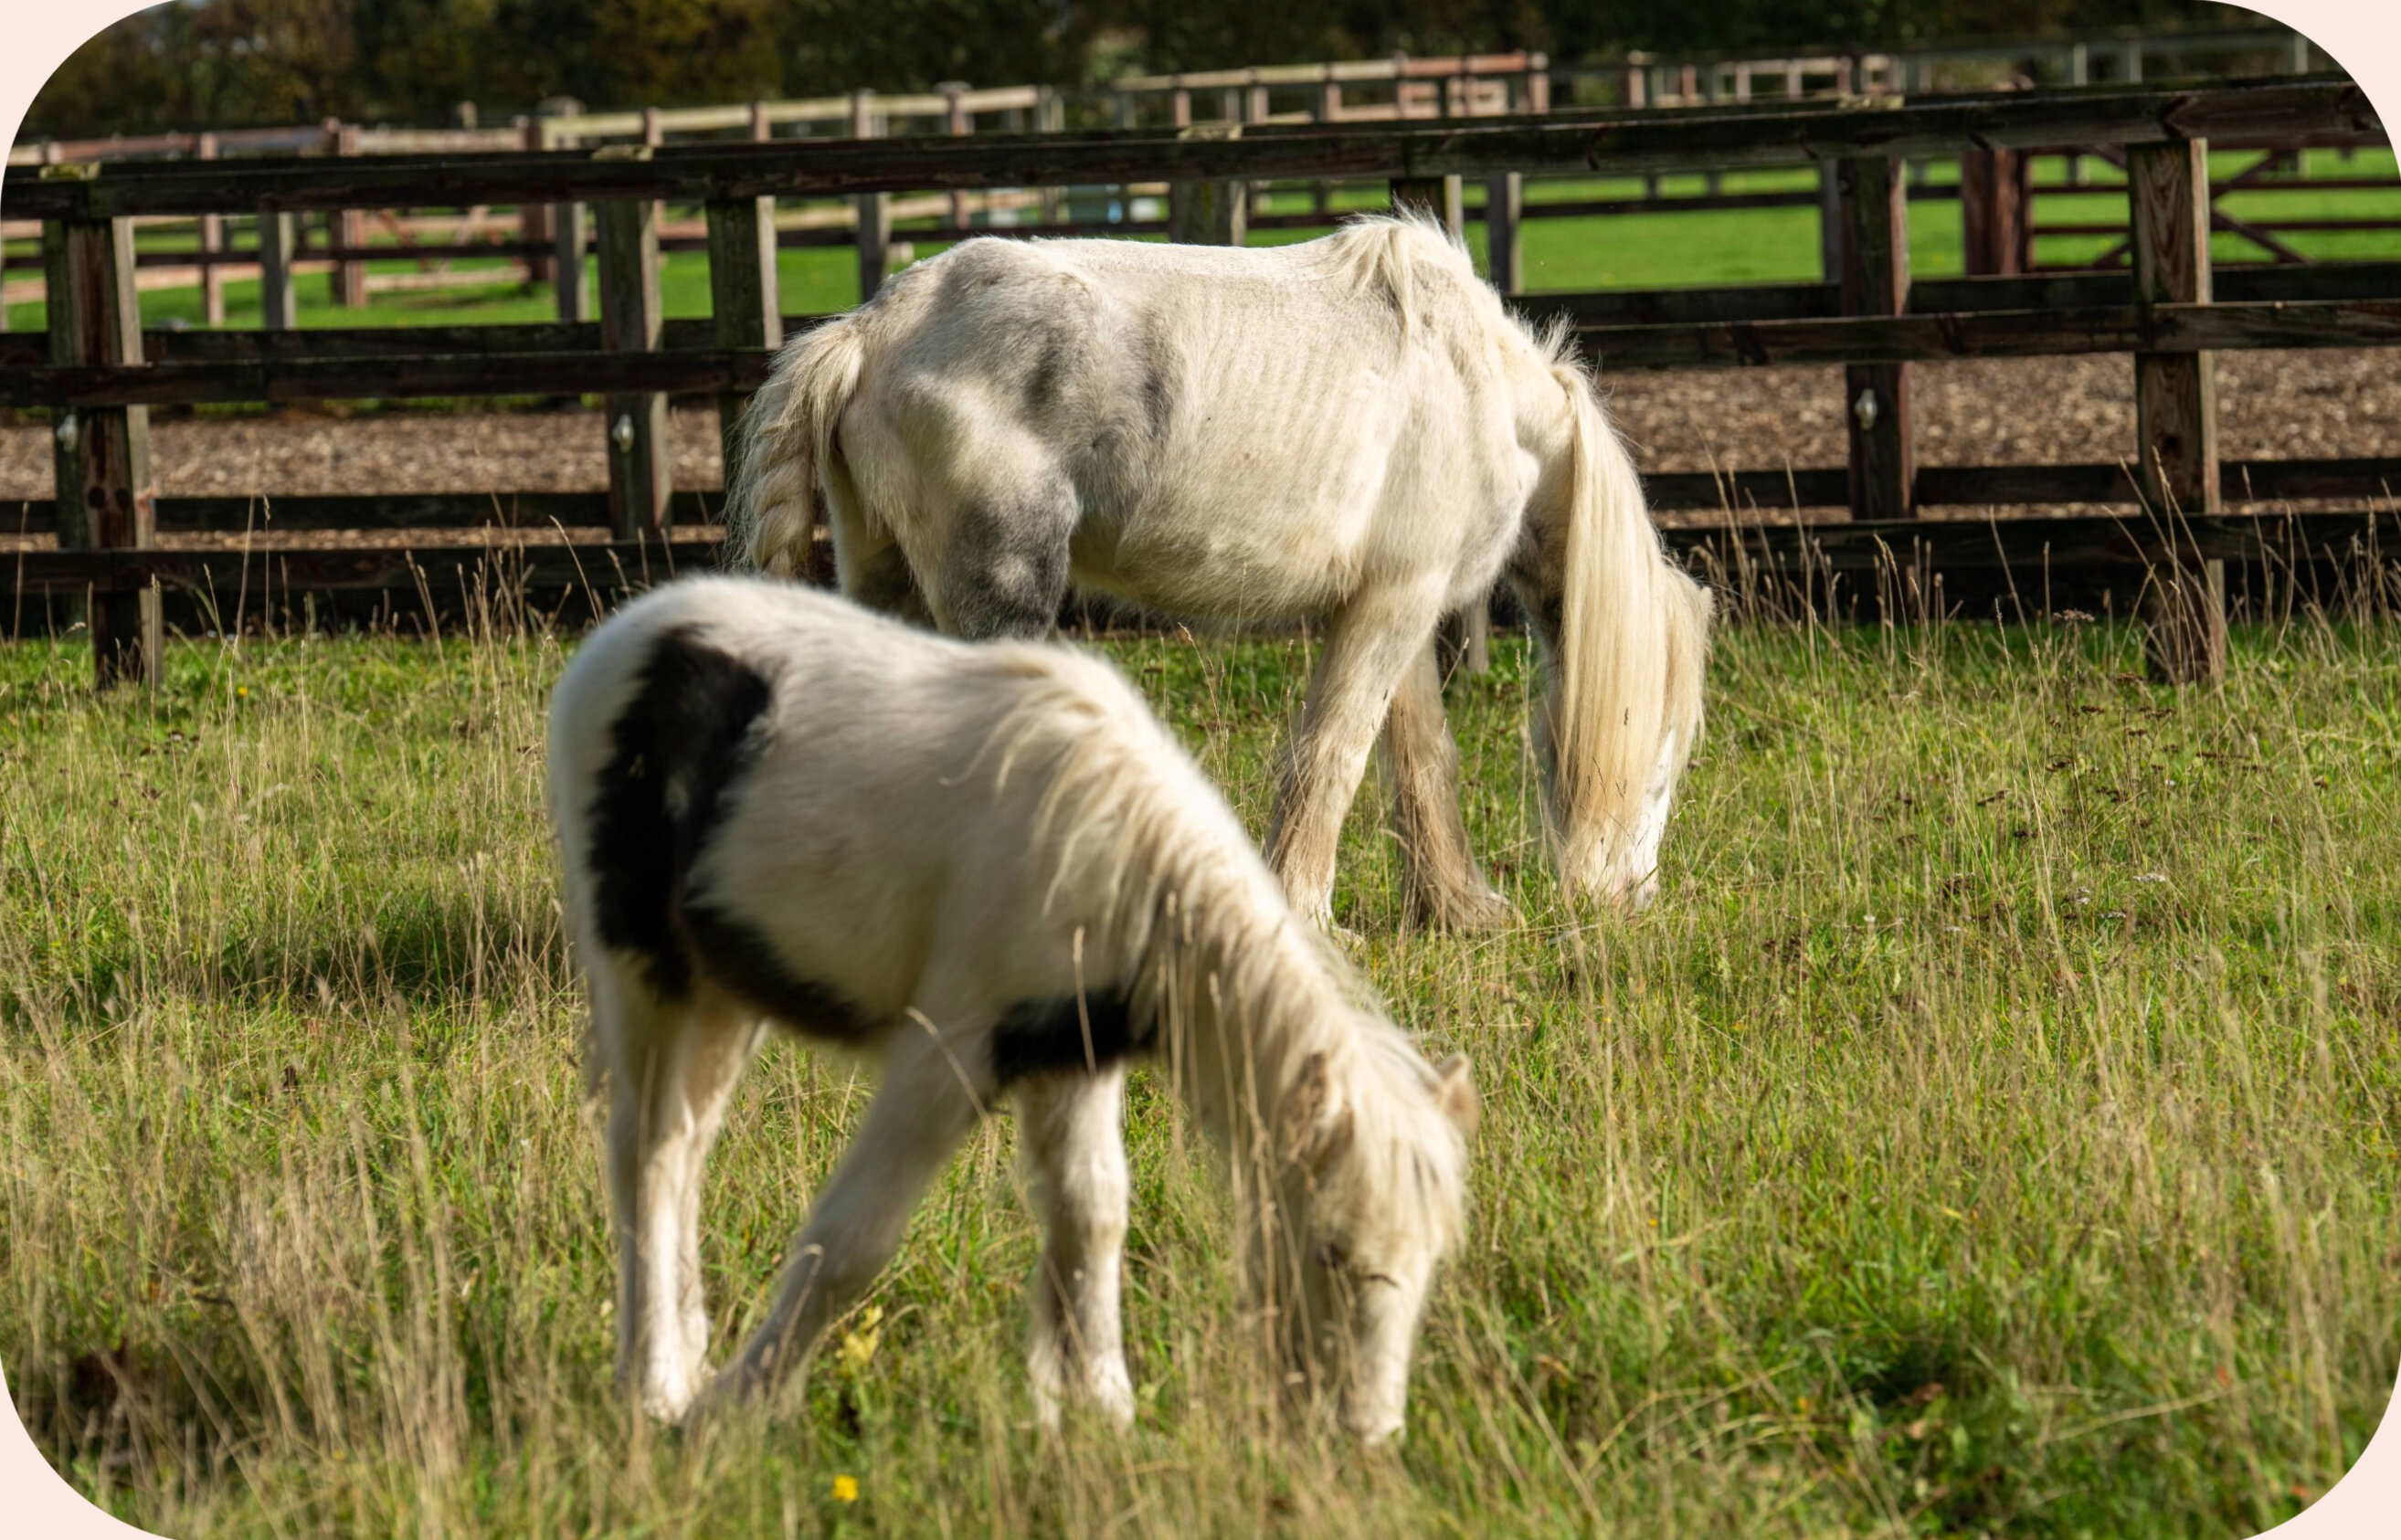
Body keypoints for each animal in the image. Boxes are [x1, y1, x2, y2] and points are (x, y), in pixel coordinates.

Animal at [546, 576, 1477, 1444]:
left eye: (1432, 1260)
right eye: (1331, 1250)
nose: (1367, 1431)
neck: (1123, 858)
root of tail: (624, 637)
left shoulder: (1071, 1052)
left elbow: (1093, 1217)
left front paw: (1103, 1412)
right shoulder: (947, 1052)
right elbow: (852, 1239)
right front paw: (737, 1407)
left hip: (724, 995)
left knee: (686, 1150)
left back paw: (682, 1358)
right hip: (646, 979)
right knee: (647, 1155)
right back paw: (657, 1386)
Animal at [724, 213, 1713, 927]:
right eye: (1662, 756)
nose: (1634, 899)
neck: (1481, 391)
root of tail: (869, 331)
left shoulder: (1391, 603)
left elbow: (1417, 756)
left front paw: (1460, 909)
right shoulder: (1399, 601)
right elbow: (1334, 758)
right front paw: (1308, 920)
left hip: (888, 586)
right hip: (1000, 593)